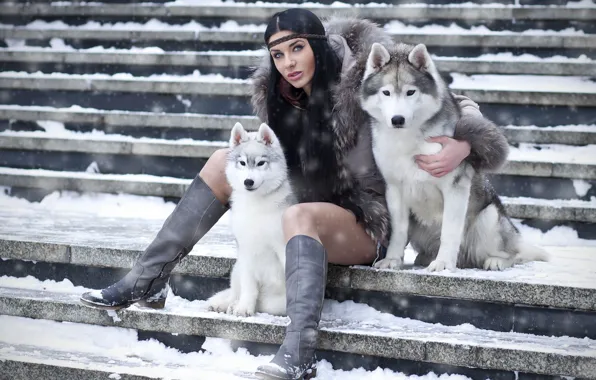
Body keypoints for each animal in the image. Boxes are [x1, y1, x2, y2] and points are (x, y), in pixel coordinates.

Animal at [207, 123, 296, 316]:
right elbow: (249, 287)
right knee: (234, 292)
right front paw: (243, 308)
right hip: (237, 268)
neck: (256, 205)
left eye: (261, 163)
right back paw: (225, 304)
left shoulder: (283, 246)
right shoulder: (246, 250)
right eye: (242, 162)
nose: (248, 181)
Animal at [360, 43, 548, 272]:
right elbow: (398, 230)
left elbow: (449, 231)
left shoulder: (454, 187)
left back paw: (495, 261)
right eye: (386, 92)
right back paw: (426, 257)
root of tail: (466, 259)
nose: (397, 119)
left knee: (513, 253)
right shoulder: (394, 189)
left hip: (490, 218)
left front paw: (443, 263)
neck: (409, 140)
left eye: (410, 92)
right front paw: (393, 259)